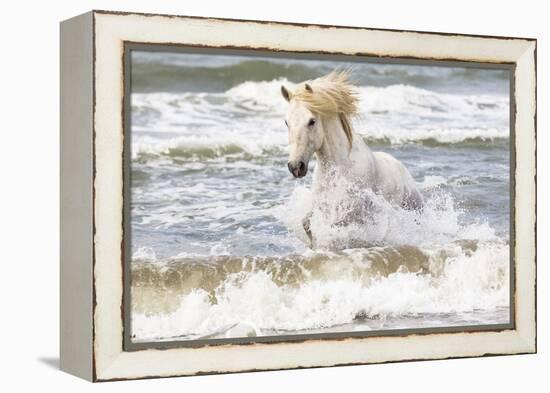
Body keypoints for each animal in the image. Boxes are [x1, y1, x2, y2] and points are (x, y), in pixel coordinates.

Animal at [282, 69, 424, 243]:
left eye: (311, 121)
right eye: (286, 122)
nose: (295, 166)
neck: (340, 166)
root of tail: (401, 167)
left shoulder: (353, 211)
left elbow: (335, 226)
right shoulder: (321, 203)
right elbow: (306, 224)